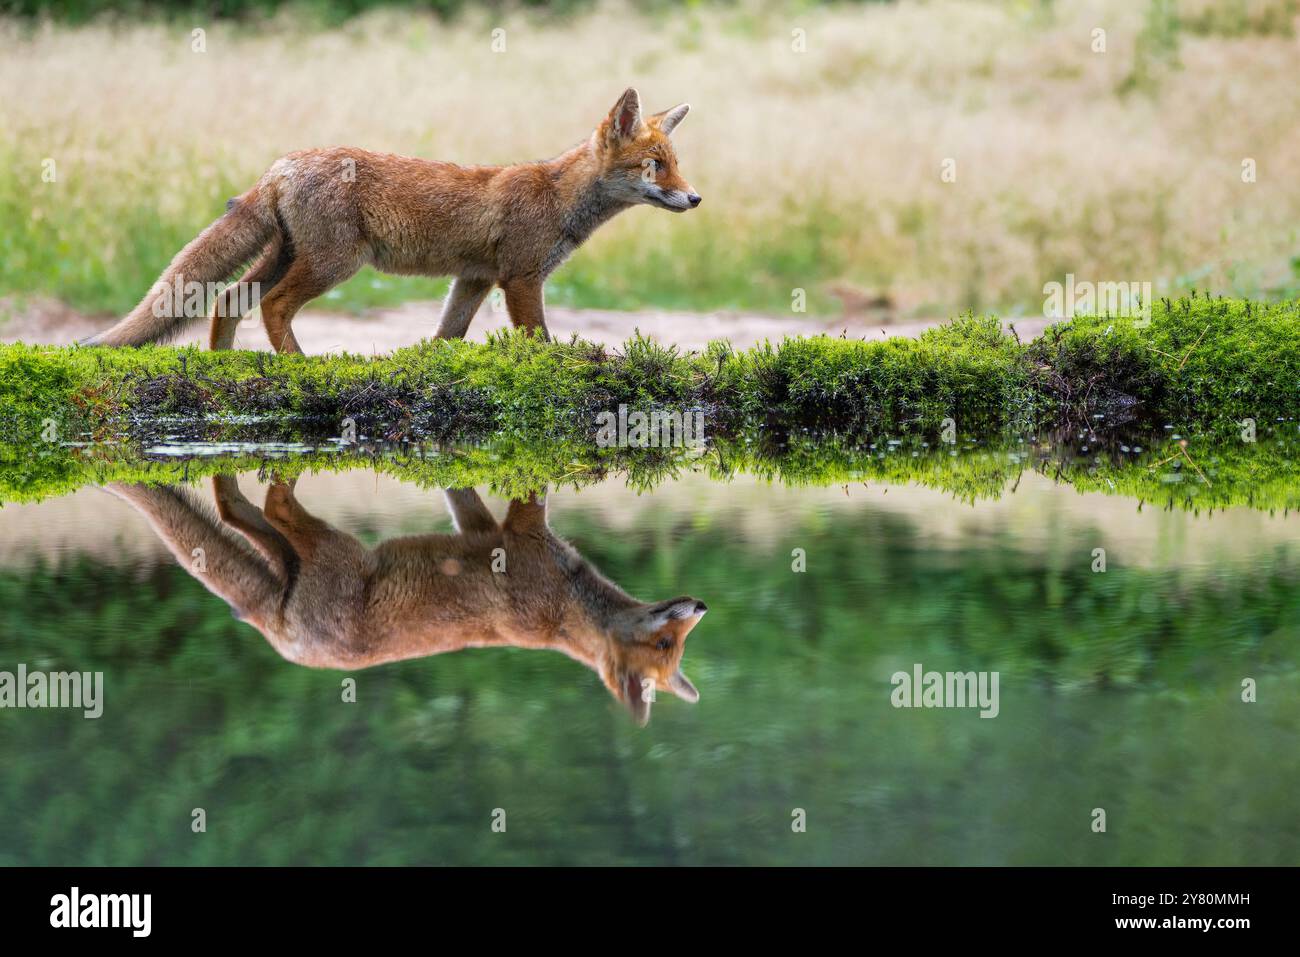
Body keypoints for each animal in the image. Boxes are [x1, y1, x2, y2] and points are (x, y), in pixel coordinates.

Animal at [85, 88, 700, 353]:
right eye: (655, 166)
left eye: (675, 163)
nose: (695, 199)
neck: (558, 197)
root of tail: (281, 164)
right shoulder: (521, 279)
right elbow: (542, 343)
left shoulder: (474, 279)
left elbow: (445, 338)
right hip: (333, 263)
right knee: (273, 306)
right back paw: (299, 369)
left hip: (287, 255)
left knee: (229, 299)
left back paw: (224, 366)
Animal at [104, 476, 707, 724]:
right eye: (665, 642)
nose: (700, 606)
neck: (563, 609)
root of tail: (286, 643)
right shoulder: (522, 531)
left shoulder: (482, 528)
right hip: (326, 544)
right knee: (267, 506)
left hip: (295, 556)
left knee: (236, 515)